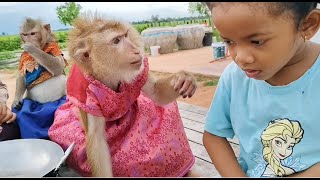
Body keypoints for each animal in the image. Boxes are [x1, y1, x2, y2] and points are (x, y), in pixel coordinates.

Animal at [48, 11, 198, 178]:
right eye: (116, 41)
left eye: (126, 35)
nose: (136, 50)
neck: (105, 74)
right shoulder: (83, 94)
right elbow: (97, 140)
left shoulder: (139, 70)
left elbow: (156, 93)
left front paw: (185, 78)